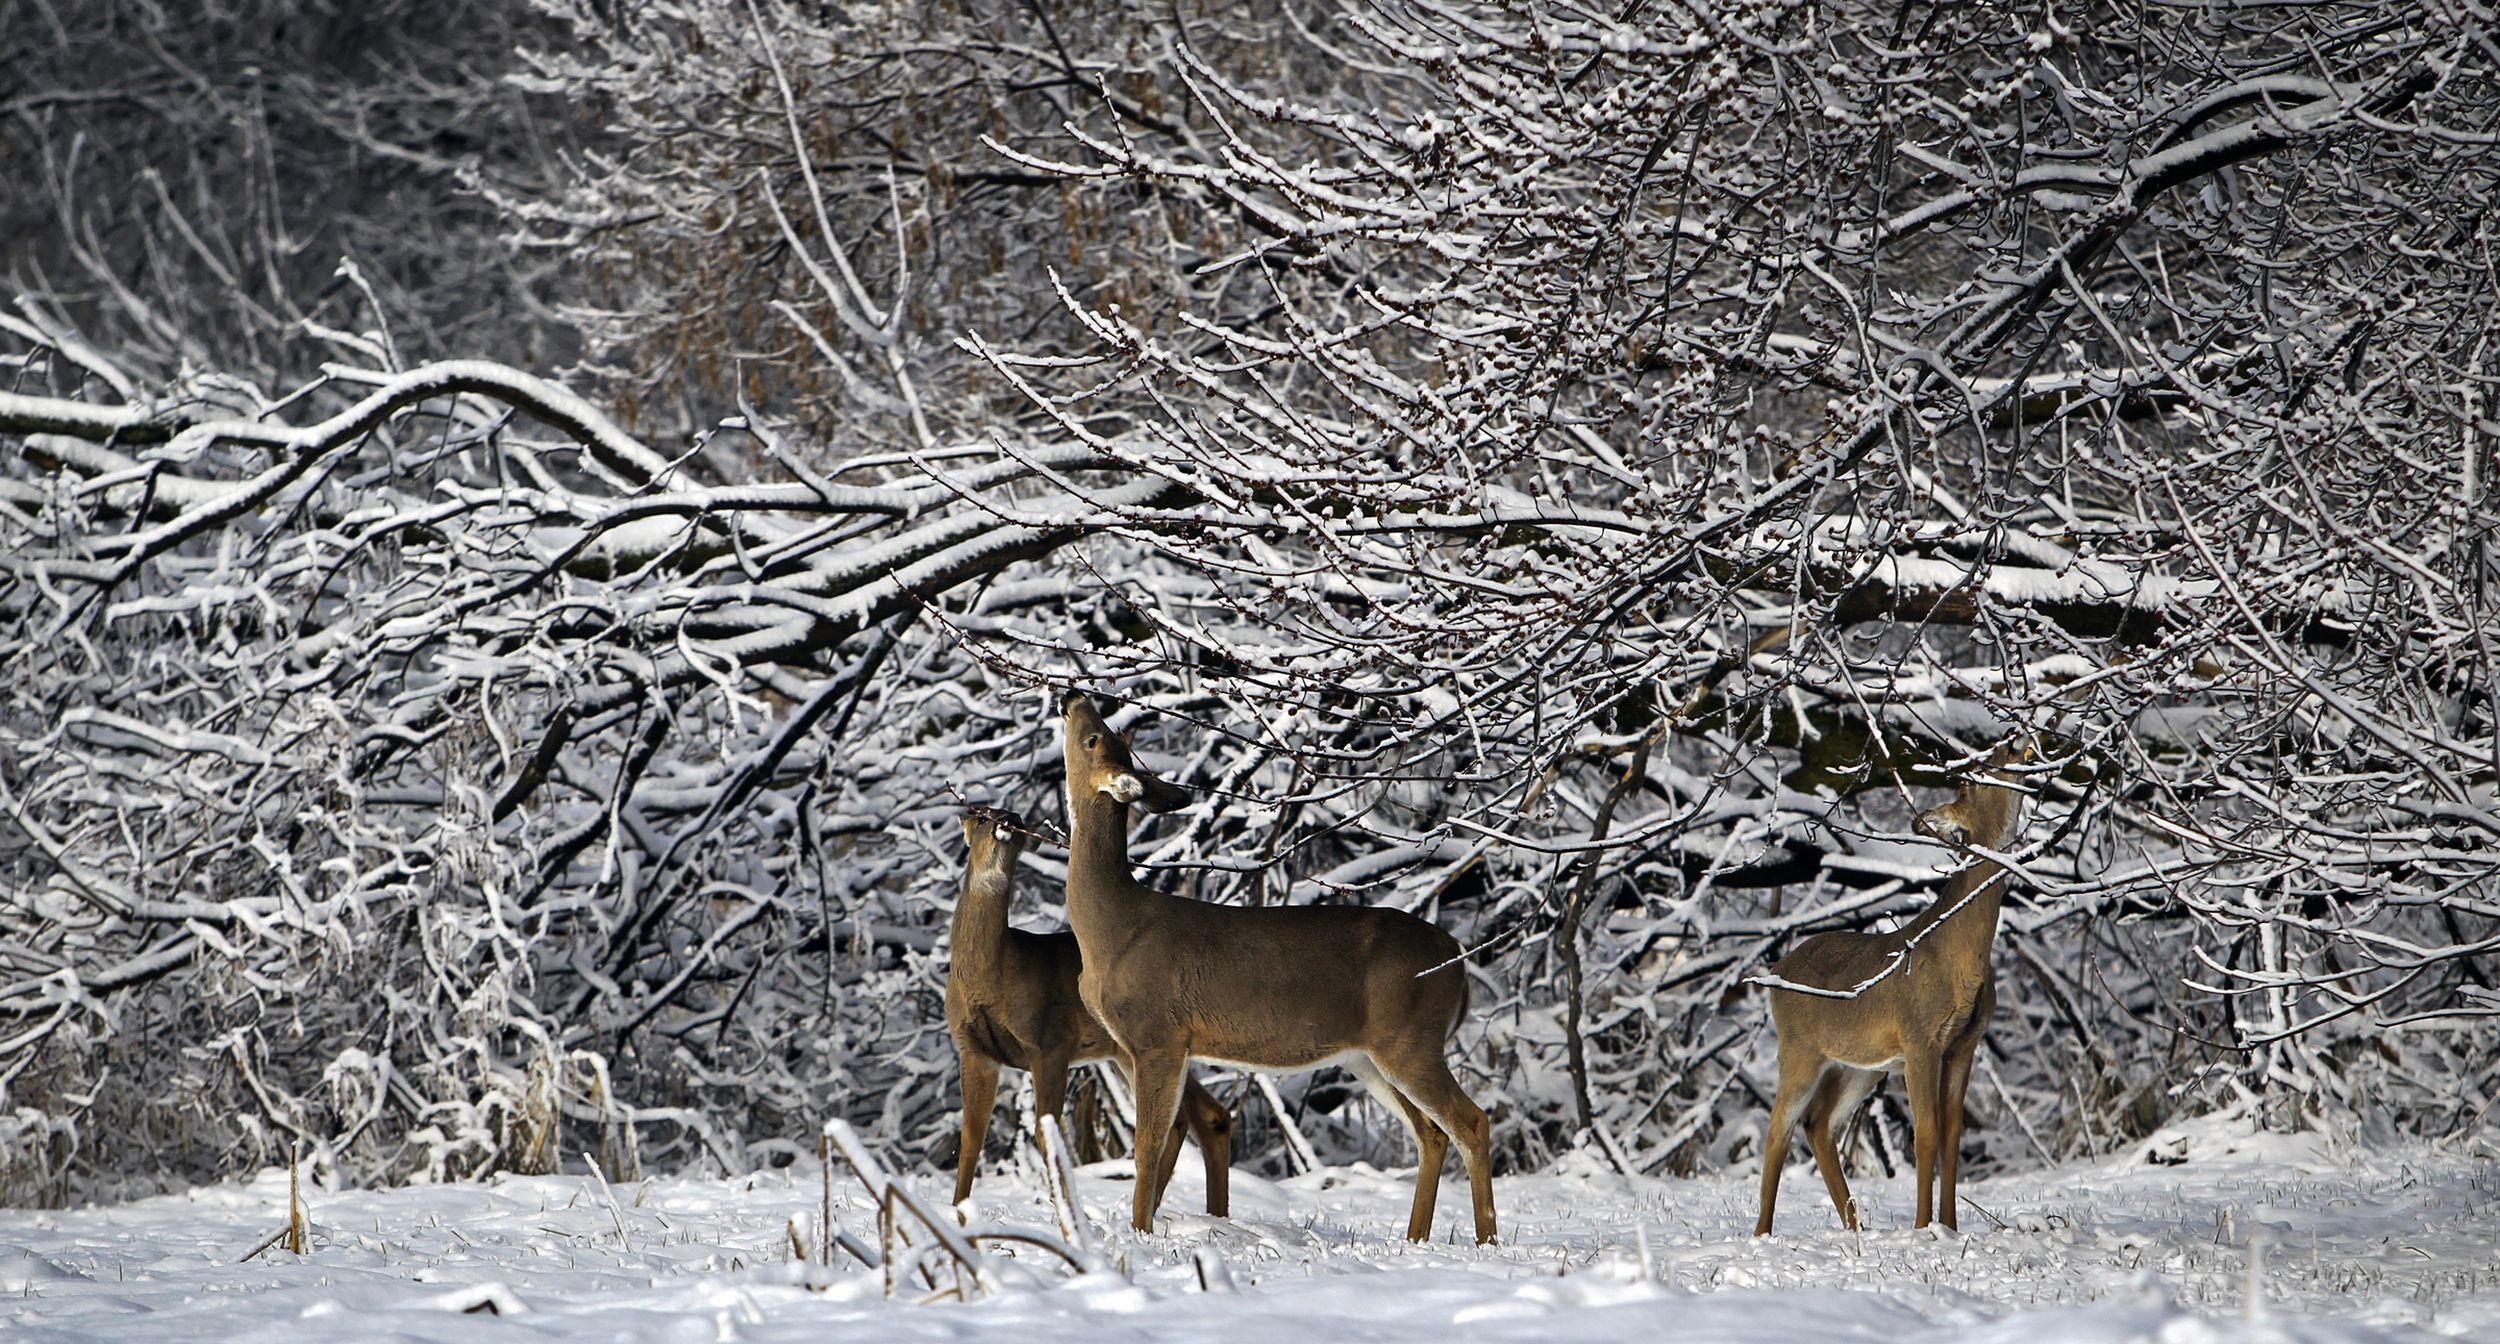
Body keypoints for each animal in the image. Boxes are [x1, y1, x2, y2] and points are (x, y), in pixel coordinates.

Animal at [945, 805, 1233, 1214]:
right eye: (982, 817)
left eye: (1016, 817)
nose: (1011, 820)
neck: (994, 976)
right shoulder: (972, 1048)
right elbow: (971, 1135)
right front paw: (957, 1210)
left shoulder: (1049, 1041)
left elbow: (1047, 1133)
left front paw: (1066, 1210)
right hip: (1128, 1051)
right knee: (1201, 1116)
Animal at [1056, 692, 1497, 1244]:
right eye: (1109, 734)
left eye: (1094, 737)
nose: (1073, 697)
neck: (1111, 928)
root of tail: (1458, 962)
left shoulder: (1158, 1035)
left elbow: (1147, 1146)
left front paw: (1140, 1234)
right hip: (1369, 1056)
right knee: (1431, 1133)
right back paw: (1415, 1239)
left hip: (1412, 1038)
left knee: (1471, 1122)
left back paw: (1486, 1241)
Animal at [1752, 743, 2029, 1236]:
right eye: (1970, 780)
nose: (2012, 742)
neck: (1960, 956)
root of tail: (1776, 970)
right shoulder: (1920, 1038)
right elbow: (1926, 1134)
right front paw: (1923, 1229)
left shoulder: (1964, 1043)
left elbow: (1952, 1135)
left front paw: (1950, 1228)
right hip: (1799, 1047)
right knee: (1777, 1129)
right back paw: (1763, 1233)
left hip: (1860, 1066)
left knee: (1818, 1124)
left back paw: (1853, 1225)